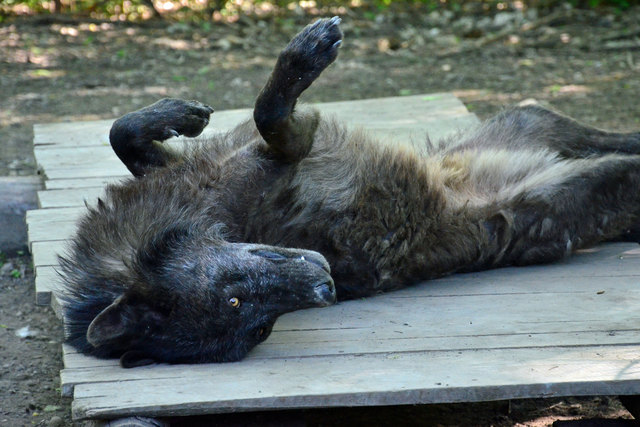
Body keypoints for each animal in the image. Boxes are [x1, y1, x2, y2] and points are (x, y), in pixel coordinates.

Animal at [59, 17, 640, 367]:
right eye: (251, 320)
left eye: (241, 304)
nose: (327, 287)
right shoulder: (282, 154)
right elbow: (269, 115)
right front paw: (304, 59)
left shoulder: (175, 170)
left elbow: (122, 132)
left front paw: (179, 113)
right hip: (590, 180)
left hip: (532, 120)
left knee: (605, 135)